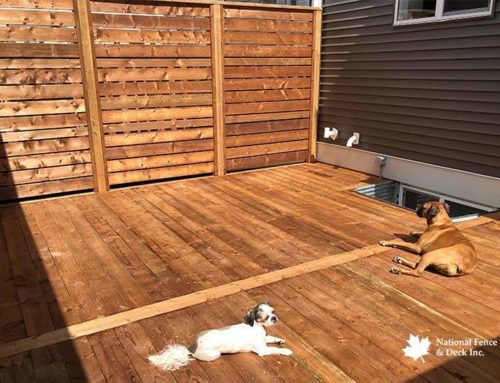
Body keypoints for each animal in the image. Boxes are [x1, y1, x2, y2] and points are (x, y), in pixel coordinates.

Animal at [147, 304, 292, 372]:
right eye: (265, 317)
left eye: (273, 312)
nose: (274, 318)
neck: (257, 328)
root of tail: (191, 349)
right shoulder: (262, 350)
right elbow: (275, 349)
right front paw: (287, 351)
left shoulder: (264, 339)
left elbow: (272, 338)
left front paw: (280, 340)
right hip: (215, 355)